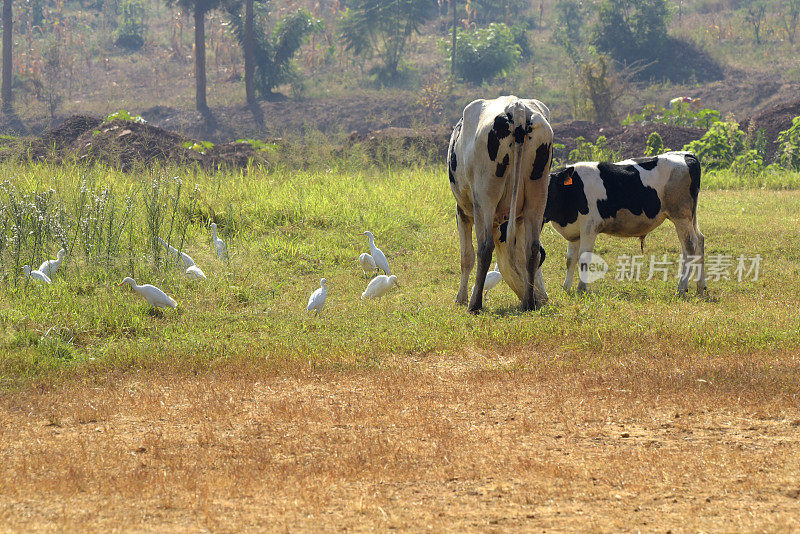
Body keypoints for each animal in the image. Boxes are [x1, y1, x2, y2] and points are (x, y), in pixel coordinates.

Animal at [446, 96, 552, 314]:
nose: (543, 299)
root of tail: (517, 108)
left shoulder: (462, 211)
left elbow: (466, 257)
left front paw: (460, 298)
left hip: (484, 199)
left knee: (485, 248)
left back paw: (474, 304)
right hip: (537, 196)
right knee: (532, 248)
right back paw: (528, 303)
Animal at [544, 152, 708, 298]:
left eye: (549, 191)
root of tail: (685, 155)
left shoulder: (589, 228)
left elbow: (583, 259)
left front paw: (581, 289)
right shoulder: (574, 233)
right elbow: (570, 259)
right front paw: (566, 288)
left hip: (681, 216)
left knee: (690, 246)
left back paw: (681, 288)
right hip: (691, 218)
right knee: (700, 240)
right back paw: (700, 288)